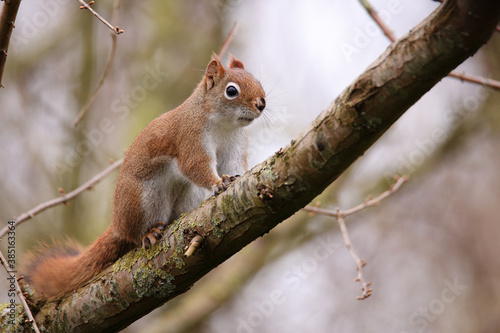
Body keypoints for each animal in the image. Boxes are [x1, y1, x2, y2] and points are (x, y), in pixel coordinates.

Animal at [23, 55, 266, 298]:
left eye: (257, 80)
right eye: (231, 91)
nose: (261, 103)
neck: (223, 124)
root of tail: (117, 224)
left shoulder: (234, 147)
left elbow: (234, 166)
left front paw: (237, 178)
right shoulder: (190, 138)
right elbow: (194, 166)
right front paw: (219, 182)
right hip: (143, 199)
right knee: (134, 233)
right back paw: (148, 233)